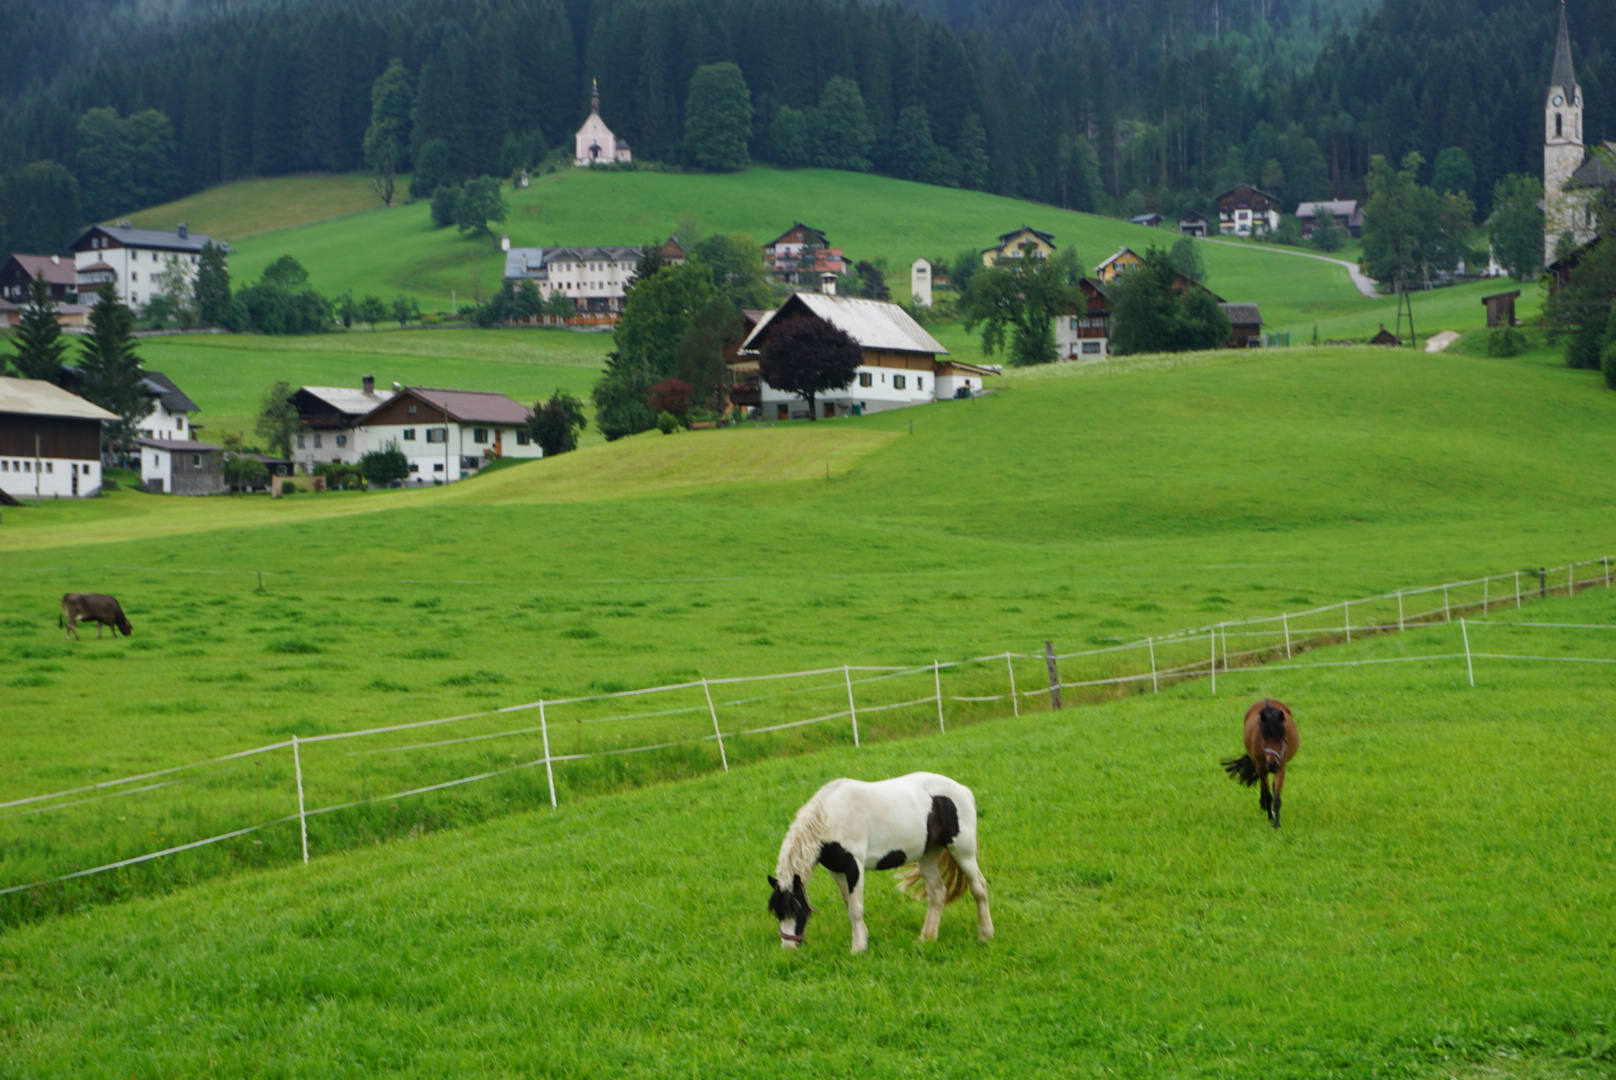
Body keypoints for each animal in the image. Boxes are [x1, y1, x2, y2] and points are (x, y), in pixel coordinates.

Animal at [762, 766, 988, 950]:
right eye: (777, 911)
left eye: (799, 910)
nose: (789, 948)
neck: (830, 817)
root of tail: (962, 790)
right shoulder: (836, 870)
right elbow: (848, 904)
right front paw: (862, 937)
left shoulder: (854, 866)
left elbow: (855, 908)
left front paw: (858, 948)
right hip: (928, 856)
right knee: (937, 893)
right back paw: (926, 939)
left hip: (963, 851)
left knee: (979, 888)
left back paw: (985, 935)